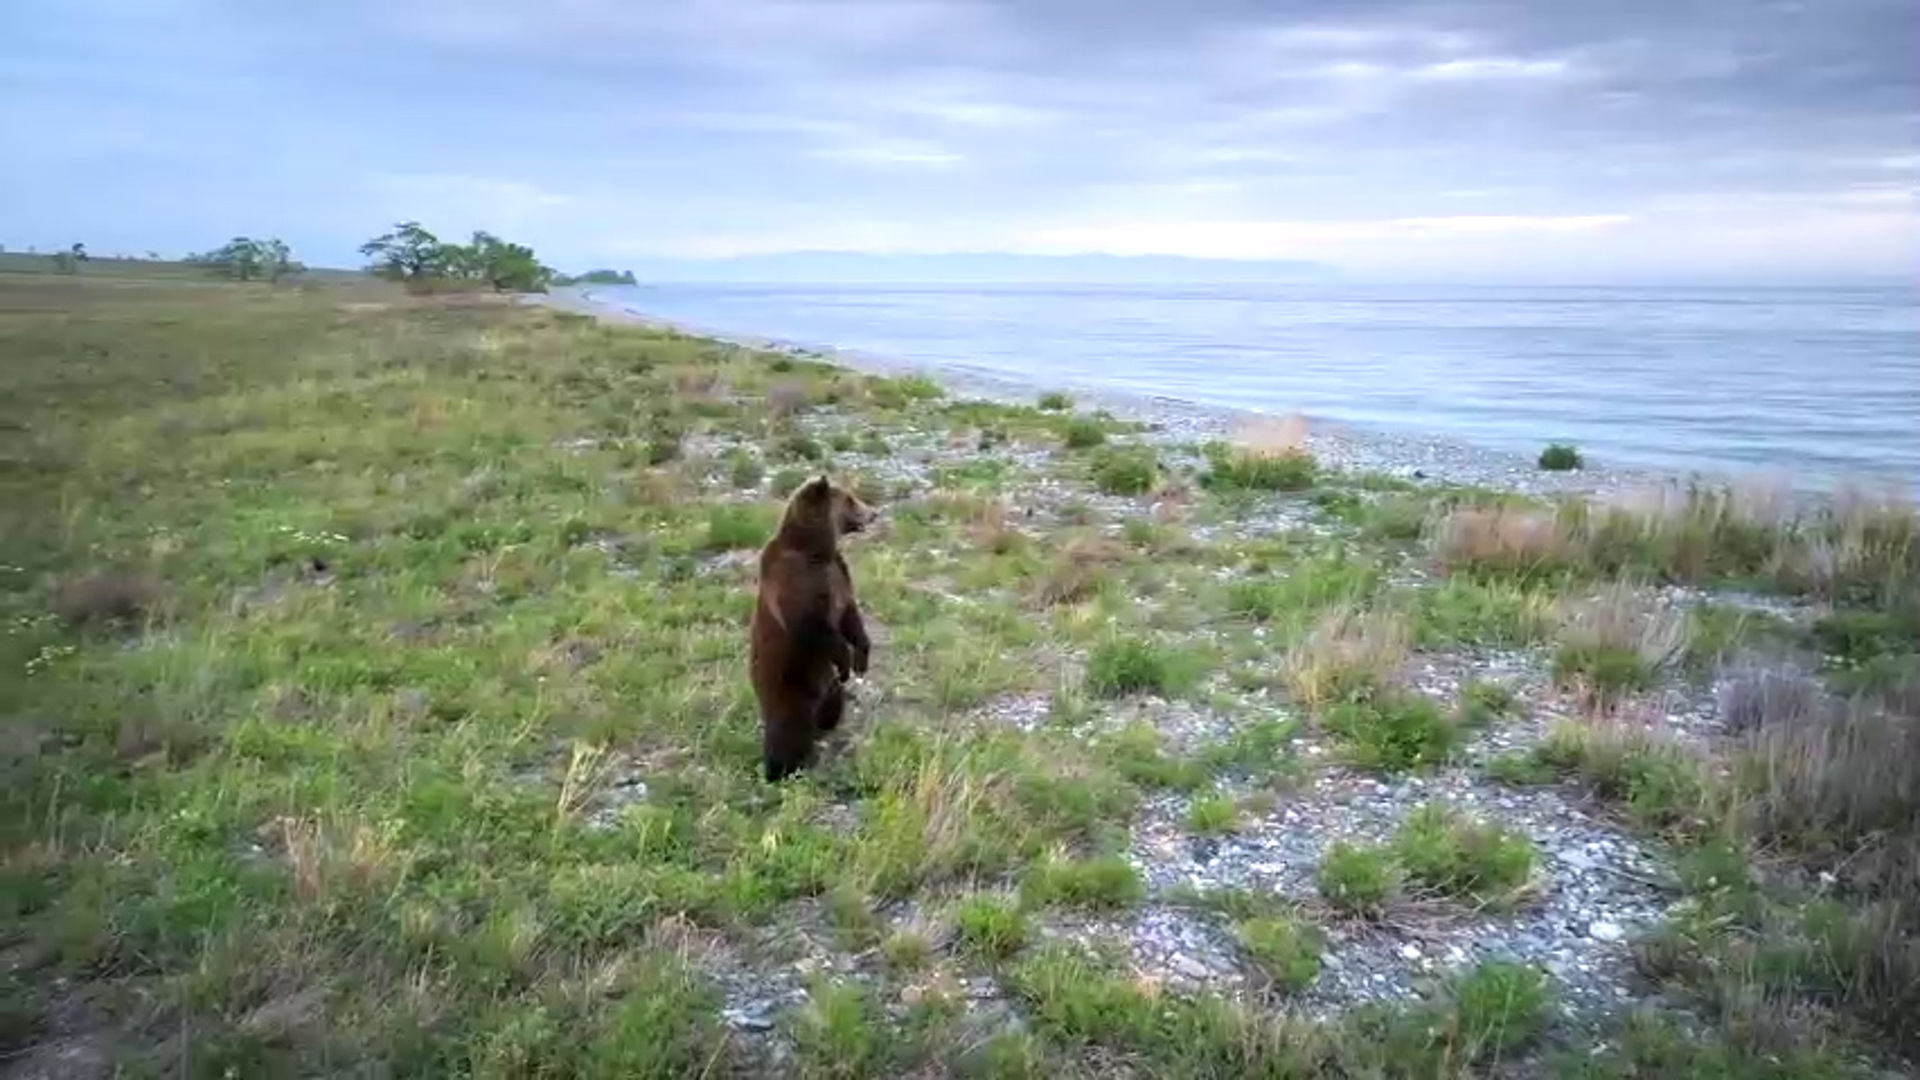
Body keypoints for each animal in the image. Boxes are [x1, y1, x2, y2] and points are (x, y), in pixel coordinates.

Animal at [748, 468, 879, 772]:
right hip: (787, 690)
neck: (816, 550)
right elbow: (812, 625)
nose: (873, 513)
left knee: (832, 707)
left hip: (826, 687)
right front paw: (846, 661)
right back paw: (781, 767)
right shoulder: (796, 580)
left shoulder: (838, 574)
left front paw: (861, 658)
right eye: (851, 499)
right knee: (787, 733)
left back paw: (826, 729)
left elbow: (850, 616)